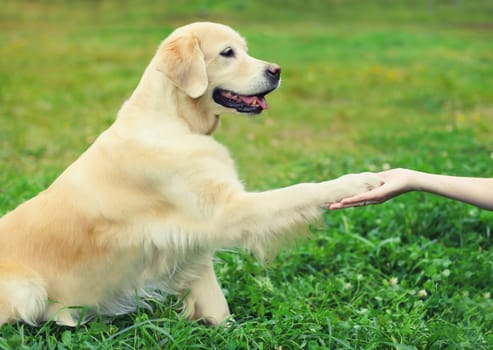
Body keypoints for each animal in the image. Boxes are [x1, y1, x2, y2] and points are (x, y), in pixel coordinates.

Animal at [0, 23, 380, 326]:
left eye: (245, 49)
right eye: (227, 53)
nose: (277, 70)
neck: (175, 121)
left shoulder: (192, 240)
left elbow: (215, 301)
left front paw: (225, 330)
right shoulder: (229, 210)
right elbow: (301, 189)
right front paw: (358, 180)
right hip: (28, 288)